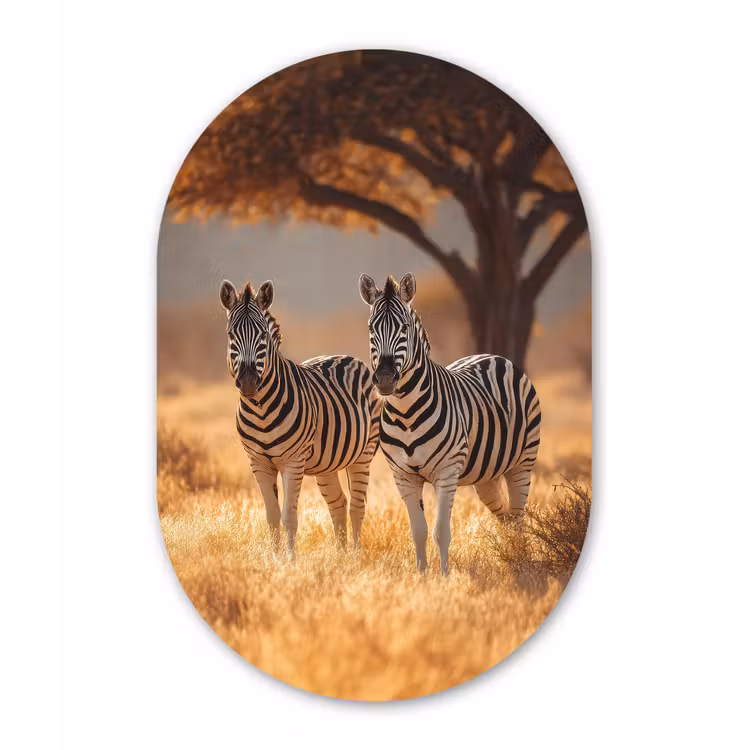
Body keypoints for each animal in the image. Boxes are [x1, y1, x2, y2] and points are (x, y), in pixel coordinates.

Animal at [220, 279, 380, 553]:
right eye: (231, 334)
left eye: (263, 335)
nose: (249, 381)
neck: (261, 410)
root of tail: (347, 356)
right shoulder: (258, 463)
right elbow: (272, 517)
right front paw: (274, 560)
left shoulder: (292, 462)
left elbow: (289, 518)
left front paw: (290, 560)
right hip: (327, 463)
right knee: (338, 503)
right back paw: (340, 556)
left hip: (364, 454)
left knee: (357, 507)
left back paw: (355, 556)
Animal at [358, 273, 541, 575]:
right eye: (372, 328)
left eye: (404, 328)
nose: (384, 378)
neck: (406, 414)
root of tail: (493, 356)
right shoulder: (403, 476)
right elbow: (418, 530)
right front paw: (421, 575)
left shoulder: (446, 472)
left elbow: (441, 531)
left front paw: (444, 577)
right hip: (486, 475)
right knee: (505, 516)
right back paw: (512, 558)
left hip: (522, 462)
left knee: (517, 518)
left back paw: (522, 563)